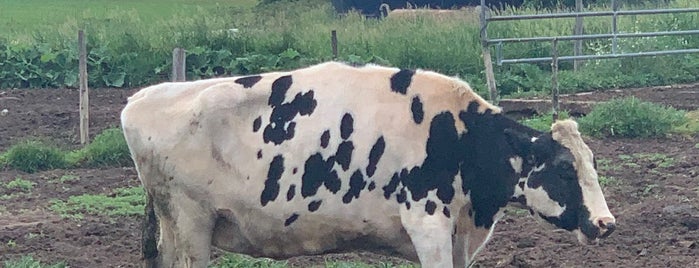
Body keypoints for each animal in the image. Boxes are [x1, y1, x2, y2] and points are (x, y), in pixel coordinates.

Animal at [123, 61, 616, 268]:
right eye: (564, 169)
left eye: (593, 163)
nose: (606, 223)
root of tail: (142, 97)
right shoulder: (427, 223)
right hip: (190, 224)